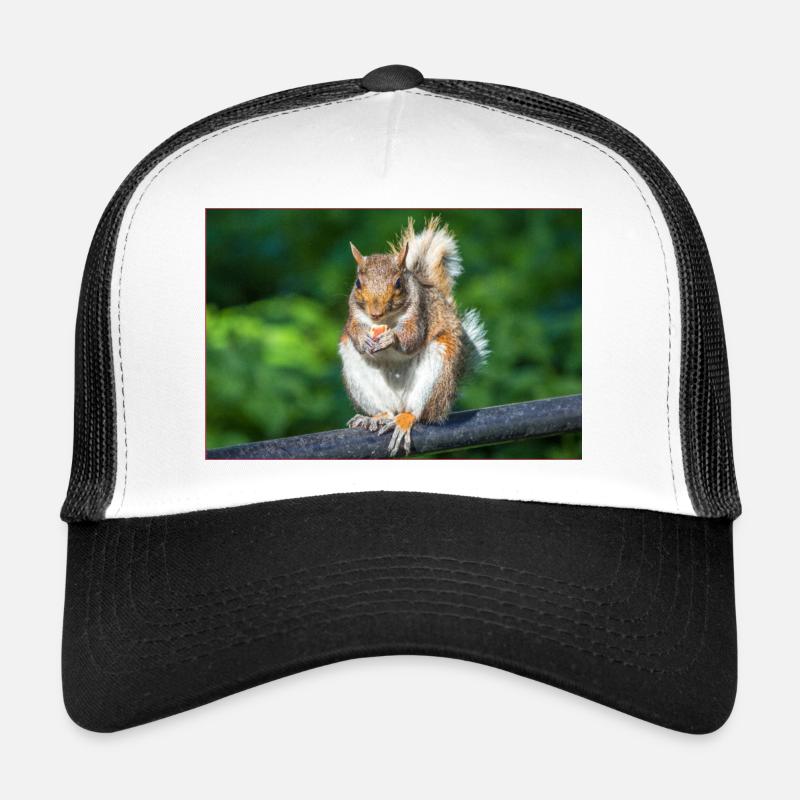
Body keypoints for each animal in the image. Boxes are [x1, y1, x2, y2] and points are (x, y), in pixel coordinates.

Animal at [339, 217, 489, 456]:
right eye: (358, 283)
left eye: (398, 283)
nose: (375, 313)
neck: (387, 320)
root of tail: (400, 403)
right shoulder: (354, 313)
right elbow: (353, 330)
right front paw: (363, 339)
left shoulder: (419, 313)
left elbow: (411, 337)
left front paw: (392, 339)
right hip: (356, 371)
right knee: (385, 410)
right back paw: (375, 417)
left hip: (438, 372)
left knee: (420, 413)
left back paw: (405, 420)